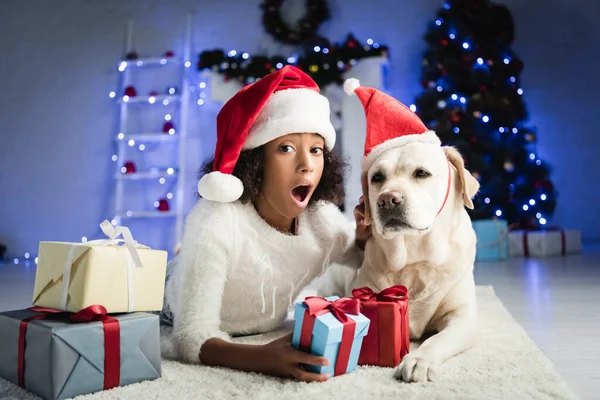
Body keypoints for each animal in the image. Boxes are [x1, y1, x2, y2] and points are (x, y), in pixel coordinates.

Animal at [322, 140, 480, 382]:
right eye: (377, 177)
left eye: (421, 173)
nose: (387, 200)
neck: (413, 261)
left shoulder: (463, 317)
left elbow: (436, 339)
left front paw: (419, 360)